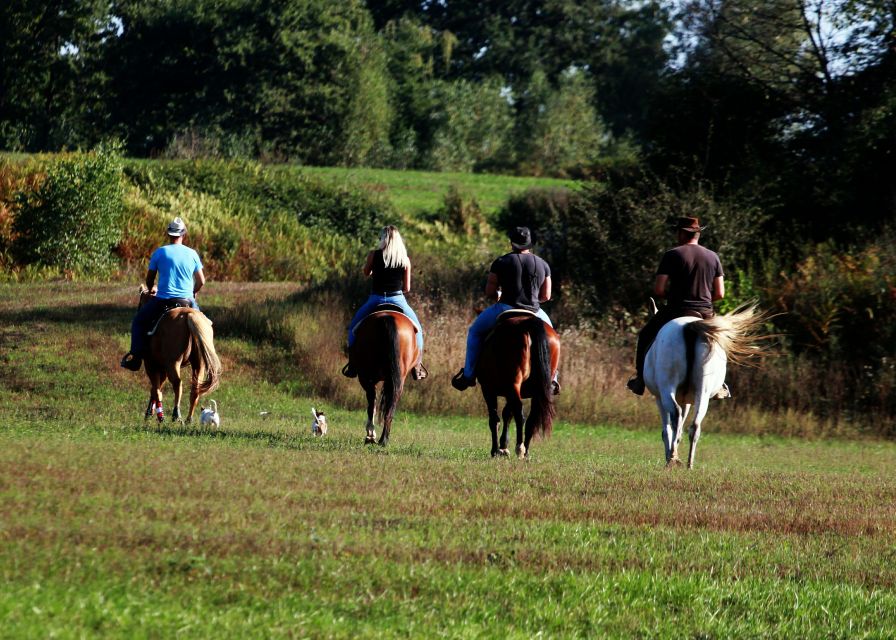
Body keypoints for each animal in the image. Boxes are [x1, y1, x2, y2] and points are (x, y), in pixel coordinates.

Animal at [137, 286, 221, 424]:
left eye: (140, 303)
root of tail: (188, 314)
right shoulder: (162, 368)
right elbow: (157, 388)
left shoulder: (151, 364)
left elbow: (155, 388)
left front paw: (153, 414)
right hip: (199, 364)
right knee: (195, 388)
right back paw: (188, 419)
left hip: (173, 362)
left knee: (177, 383)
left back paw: (176, 414)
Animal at [350, 304, 420, 444]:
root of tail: (387, 317)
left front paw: (370, 434)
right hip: (396, 378)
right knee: (391, 403)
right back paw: (383, 439)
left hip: (367, 376)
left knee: (372, 402)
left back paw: (372, 435)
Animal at [476, 312, 560, 458]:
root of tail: (529, 322)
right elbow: (507, 414)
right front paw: (503, 447)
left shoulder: (488, 389)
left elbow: (495, 419)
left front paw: (496, 450)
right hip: (536, 390)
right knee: (531, 419)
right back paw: (525, 452)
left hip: (513, 383)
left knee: (519, 413)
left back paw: (519, 448)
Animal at [644, 302, 768, 468]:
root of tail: (689, 326)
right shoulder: (686, 400)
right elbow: (679, 429)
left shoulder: (659, 397)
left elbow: (667, 430)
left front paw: (670, 454)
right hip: (702, 391)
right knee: (695, 426)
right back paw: (689, 465)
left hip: (667, 388)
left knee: (676, 415)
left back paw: (673, 459)